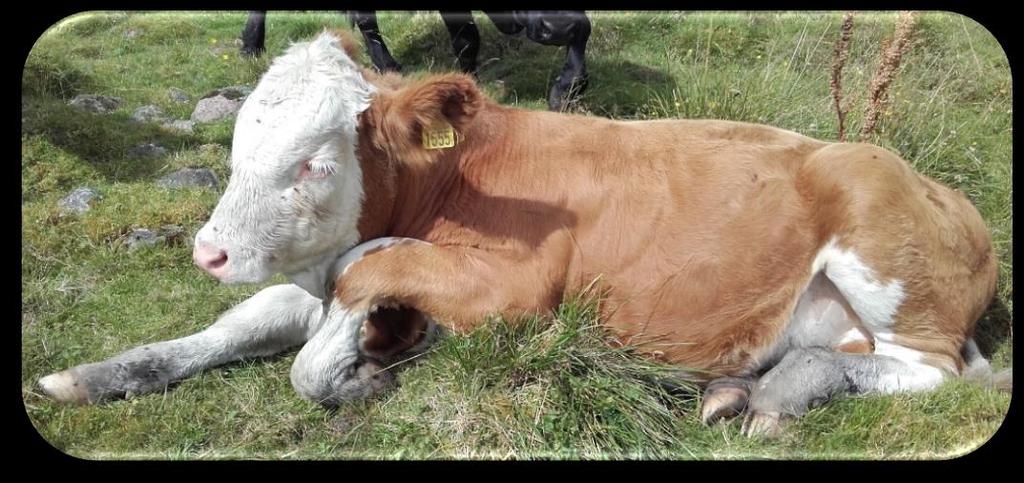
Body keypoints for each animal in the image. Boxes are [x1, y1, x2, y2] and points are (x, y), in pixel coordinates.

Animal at [37, 31, 999, 437]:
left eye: (311, 162)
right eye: (238, 142)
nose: (210, 250)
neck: (452, 181)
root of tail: (941, 188)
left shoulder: (521, 290)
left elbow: (346, 297)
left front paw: (365, 365)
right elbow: (241, 322)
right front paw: (94, 375)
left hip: (885, 255)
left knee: (940, 373)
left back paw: (781, 392)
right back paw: (749, 391)